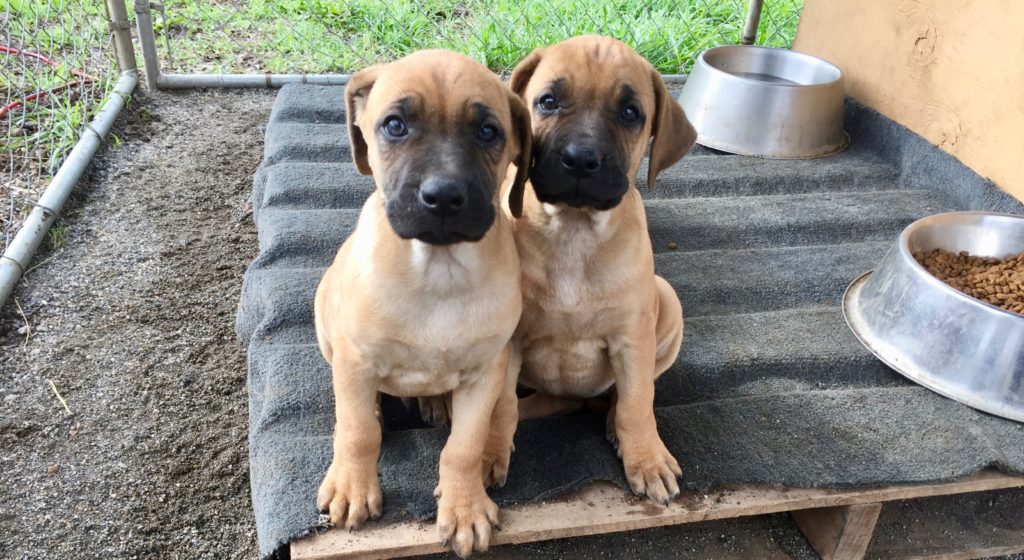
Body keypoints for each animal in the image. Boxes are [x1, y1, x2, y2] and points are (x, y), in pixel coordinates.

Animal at [313, 50, 532, 556]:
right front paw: (353, 486)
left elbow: (465, 447)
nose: (444, 196)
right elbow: (357, 431)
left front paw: (465, 507)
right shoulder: (354, 359)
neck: (439, 270)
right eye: (394, 125)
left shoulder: (485, 372)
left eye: (488, 131)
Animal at [505, 37, 696, 505]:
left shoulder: (632, 340)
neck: (574, 231)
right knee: (547, 402)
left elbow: (636, 401)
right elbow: (498, 408)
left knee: (628, 396)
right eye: (548, 101)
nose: (580, 159)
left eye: (630, 113)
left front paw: (646, 458)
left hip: (666, 303)